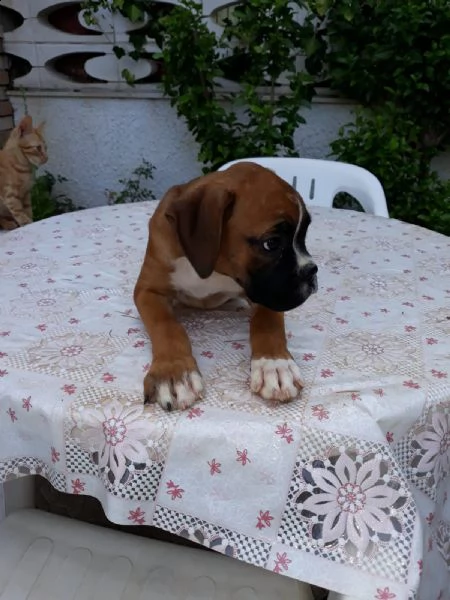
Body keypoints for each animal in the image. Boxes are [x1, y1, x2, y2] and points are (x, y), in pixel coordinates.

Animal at [134, 162, 316, 410]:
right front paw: (174, 372)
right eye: (271, 243)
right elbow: (167, 325)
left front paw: (274, 365)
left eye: (304, 234)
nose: (312, 271)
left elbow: (267, 320)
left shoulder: (264, 292)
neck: (214, 269)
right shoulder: (148, 290)